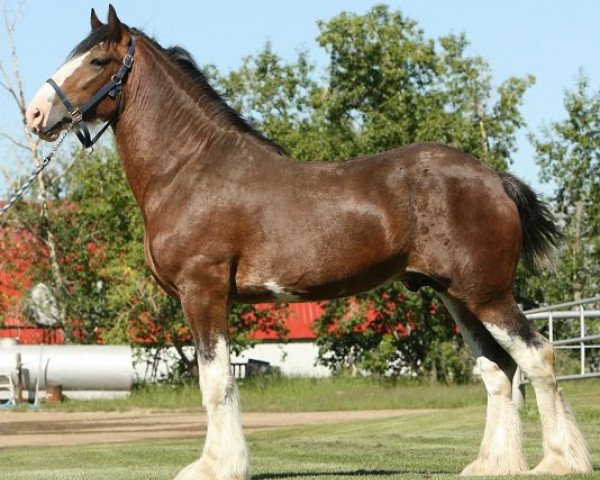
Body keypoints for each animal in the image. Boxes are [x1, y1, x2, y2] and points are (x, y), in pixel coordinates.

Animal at [24, 5, 592, 478]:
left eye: (97, 59)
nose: (34, 115)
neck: (190, 169)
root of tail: (494, 178)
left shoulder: (202, 291)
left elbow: (216, 382)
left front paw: (217, 467)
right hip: (457, 296)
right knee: (498, 370)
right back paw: (493, 464)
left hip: (487, 293)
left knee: (537, 358)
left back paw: (559, 462)